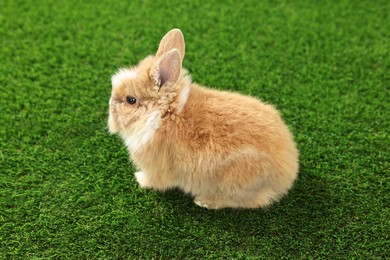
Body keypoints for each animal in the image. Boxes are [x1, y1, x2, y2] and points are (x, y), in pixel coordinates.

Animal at [108, 29, 300, 209]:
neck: (161, 114)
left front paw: (139, 179)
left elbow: (153, 180)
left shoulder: (155, 169)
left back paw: (205, 201)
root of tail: (288, 172)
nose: (111, 106)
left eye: (130, 100)